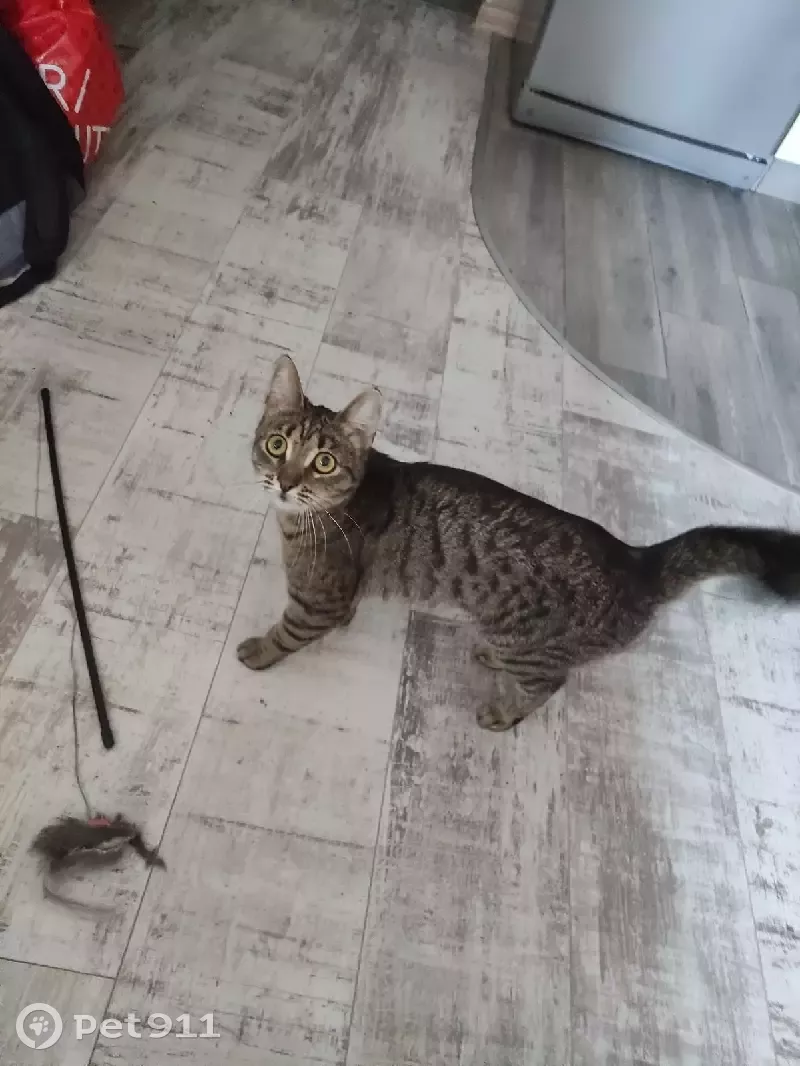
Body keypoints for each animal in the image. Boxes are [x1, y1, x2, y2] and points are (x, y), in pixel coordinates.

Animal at [238, 354, 800, 731]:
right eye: (277, 445)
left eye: (323, 461)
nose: (284, 482)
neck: (307, 518)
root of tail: (637, 560)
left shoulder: (318, 602)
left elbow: (287, 633)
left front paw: (259, 652)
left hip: (534, 651)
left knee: (549, 683)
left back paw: (503, 712)